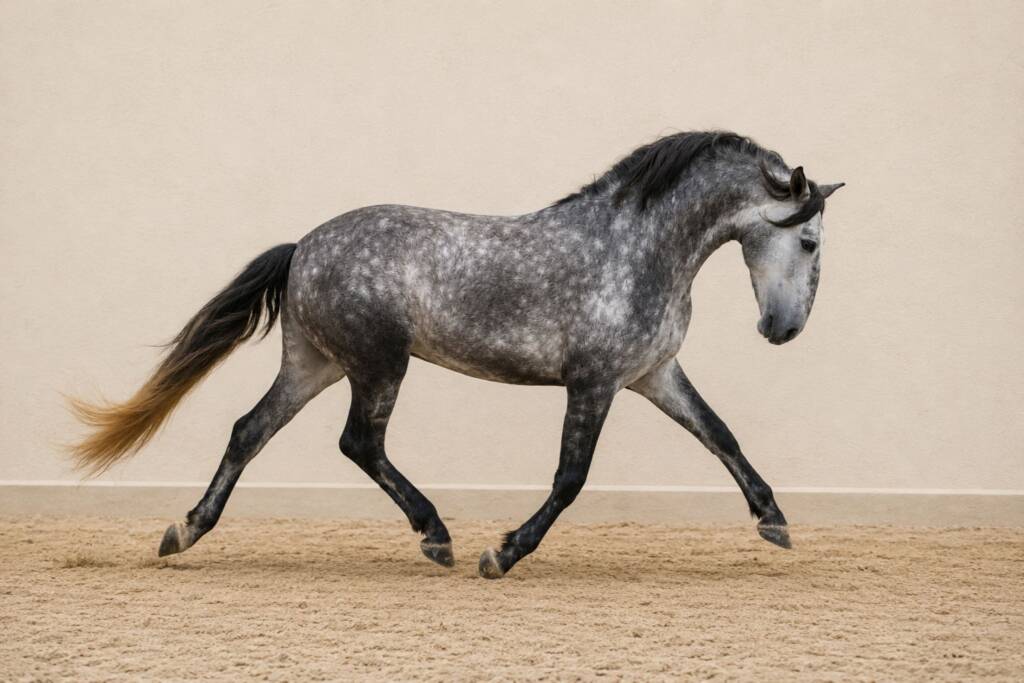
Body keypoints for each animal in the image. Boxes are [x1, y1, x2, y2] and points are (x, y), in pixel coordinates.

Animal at [70, 130, 843, 578]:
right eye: (809, 241)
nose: (782, 329)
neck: (638, 249)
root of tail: (304, 248)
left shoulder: (654, 374)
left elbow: (721, 436)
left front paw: (774, 521)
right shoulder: (593, 382)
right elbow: (571, 478)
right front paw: (500, 552)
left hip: (314, 363)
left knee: (249, 430)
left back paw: (184, 531)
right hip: (379, 364)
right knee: (359, 442)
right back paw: (435, 535)